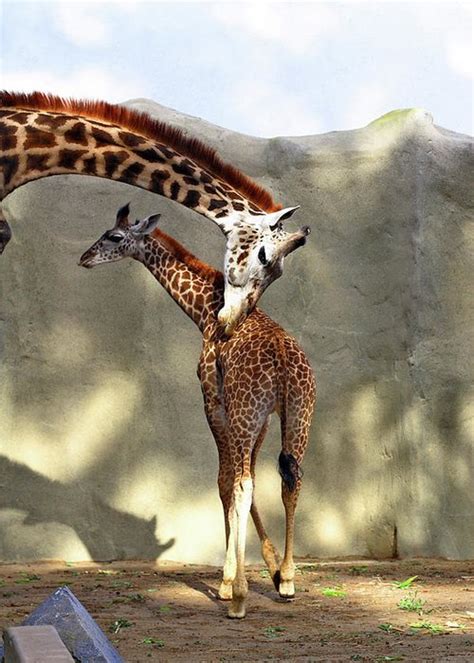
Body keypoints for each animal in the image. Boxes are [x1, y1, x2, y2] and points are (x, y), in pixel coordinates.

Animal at [78, 205, 314, 620]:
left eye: (114, 237)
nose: (85, 258)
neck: (205, 310)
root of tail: (286, 363)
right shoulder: (264, 419)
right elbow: (247, 480)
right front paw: (270, 572)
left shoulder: (213, 400)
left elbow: (225, 482)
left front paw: (227, 583)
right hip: (298, 415)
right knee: (291, 480)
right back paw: (287, 580)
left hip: (248, 412)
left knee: (242, 484)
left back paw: (238, 599)